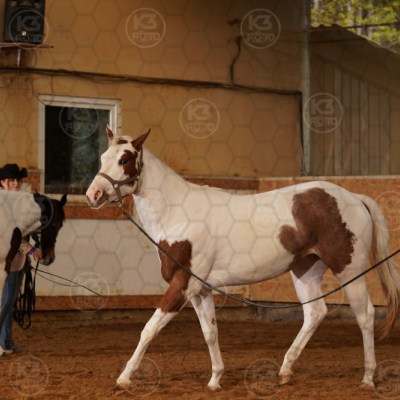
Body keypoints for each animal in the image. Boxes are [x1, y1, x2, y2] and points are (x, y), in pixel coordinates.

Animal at [86, 127, 400, 391]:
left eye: (125, 159)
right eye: (103, 157)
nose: (93, 194)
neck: (177, 212)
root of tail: (354, 197)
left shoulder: (183, 284)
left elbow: (149, 329)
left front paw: (124, 378)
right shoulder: (200, 290)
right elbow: (210, 332)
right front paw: (215, 379)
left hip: (350, 270)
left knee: (365, 315)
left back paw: (368, 378)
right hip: (305, 270)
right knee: (315, 313)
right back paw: (284, 371)